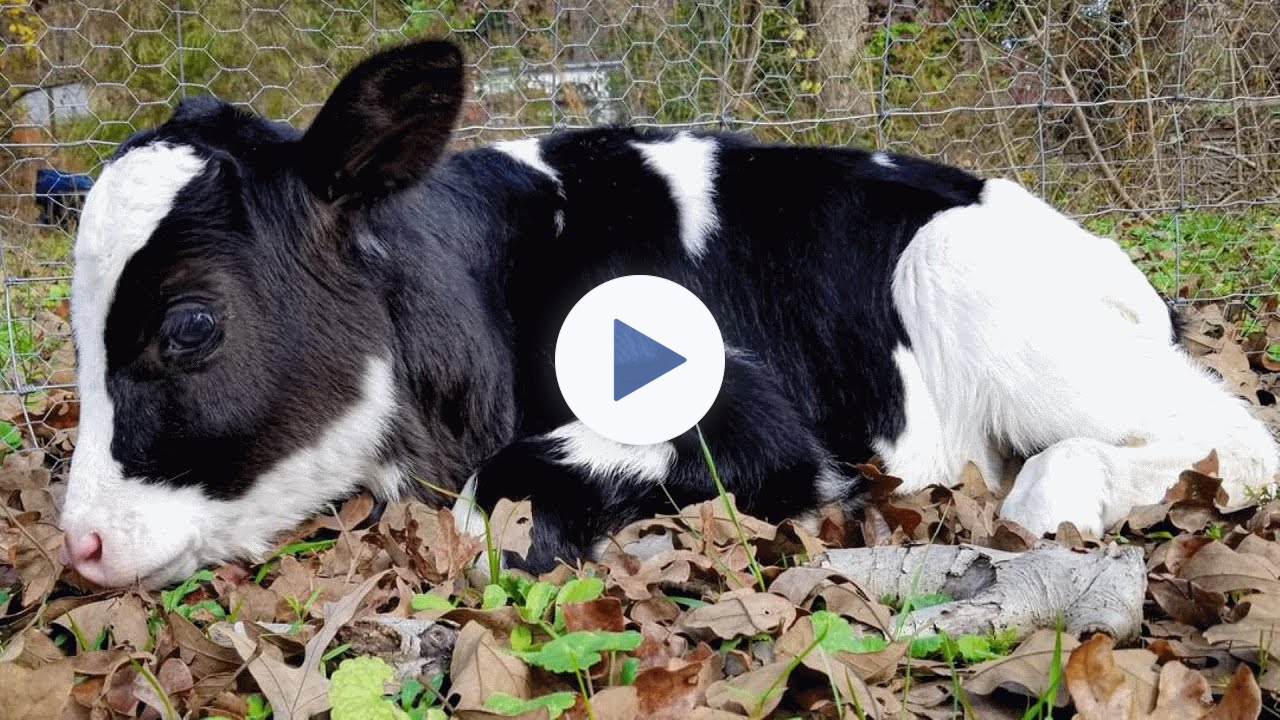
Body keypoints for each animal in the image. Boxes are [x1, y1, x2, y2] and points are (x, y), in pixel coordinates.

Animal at [56, 38, 1279, 589]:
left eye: (190, 326)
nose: (79, 542)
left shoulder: (757, 416)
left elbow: (502, 492)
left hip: (969, 281)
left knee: (1227, 439)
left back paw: (1052, 494)